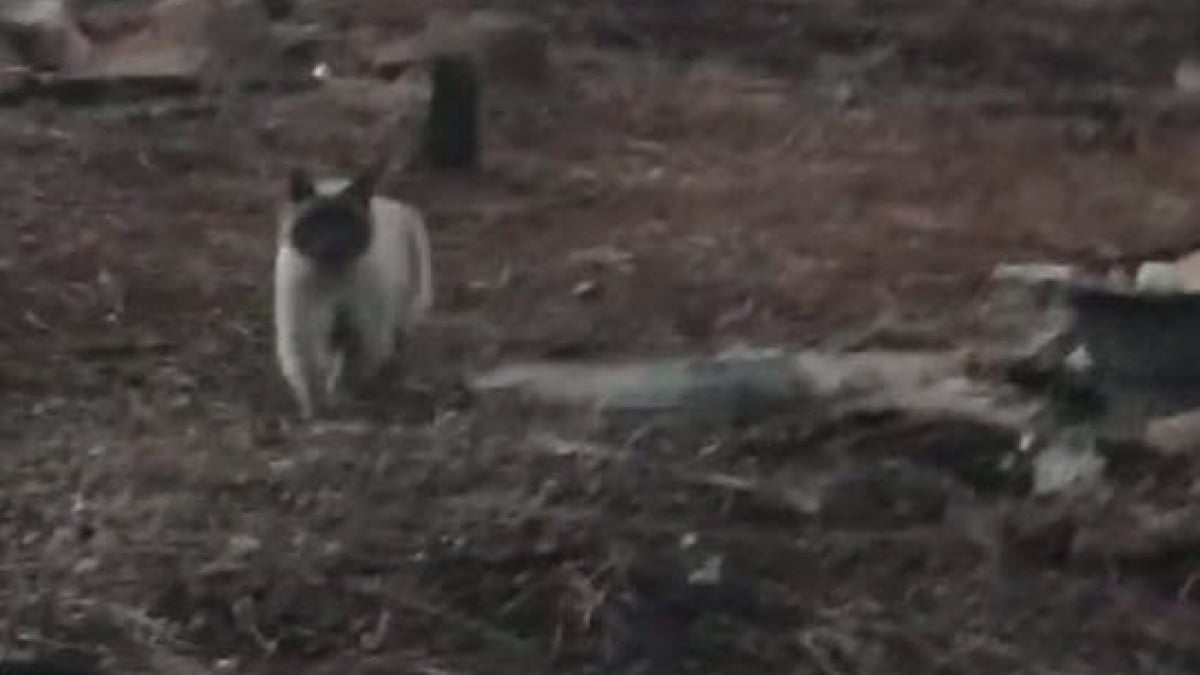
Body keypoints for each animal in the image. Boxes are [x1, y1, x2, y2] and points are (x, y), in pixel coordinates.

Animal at [274, 159, 434, 417]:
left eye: (346, 222)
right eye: (316, 222)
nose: (332, 241)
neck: (332, 277)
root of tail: (395, 204)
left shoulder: (363, 332)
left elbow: (347, 376)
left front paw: (338, 405)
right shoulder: (302, 332)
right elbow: (311, 377)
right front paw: (315, 413)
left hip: (399, 317)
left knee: (396, 350)